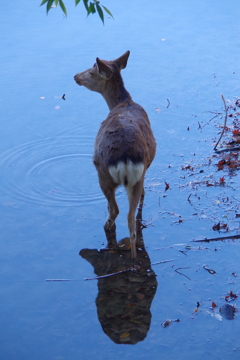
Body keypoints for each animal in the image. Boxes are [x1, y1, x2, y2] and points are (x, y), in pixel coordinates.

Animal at [74, 51, 157, 258]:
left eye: (91, 71)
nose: (75, 76)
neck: (123, 103)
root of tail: (125, 159)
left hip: (102, 173)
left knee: (114, 210)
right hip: (137, 178)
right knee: (132, 221)